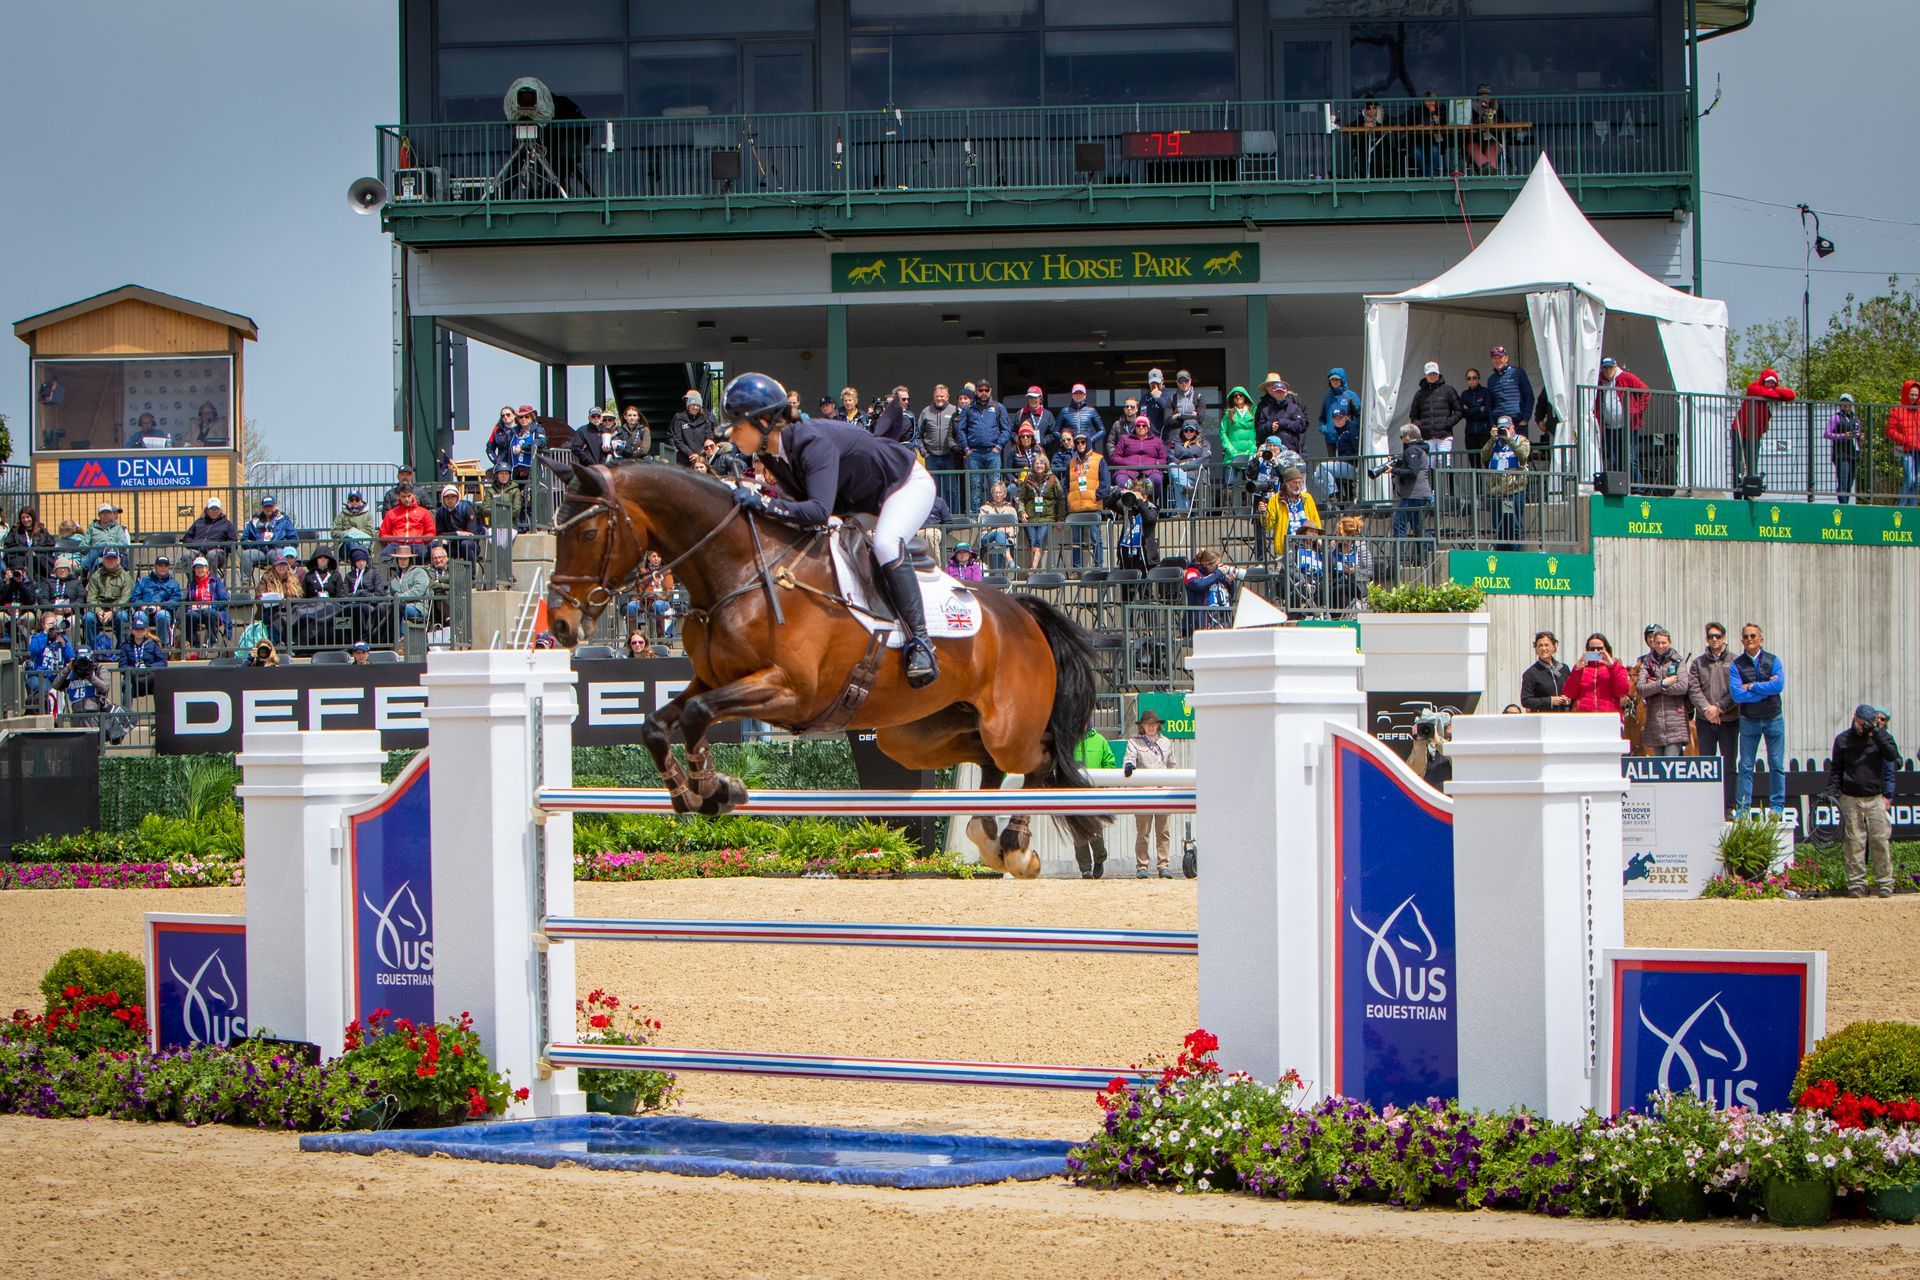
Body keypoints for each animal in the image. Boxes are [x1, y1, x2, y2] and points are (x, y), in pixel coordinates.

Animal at [549, 462, 1105, 882]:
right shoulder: (712, 680)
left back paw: (1015, 845)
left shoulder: (790, 692)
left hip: (1006, 725)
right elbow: (659, 723)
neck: (742, 571)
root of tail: (1022, 613)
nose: (559, 624)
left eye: (589, 532)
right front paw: (692, 793)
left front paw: (714, 789)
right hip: (913, 736)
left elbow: (697, 716)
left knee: (1038, 758)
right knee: (987, 761)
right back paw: (988, 838)